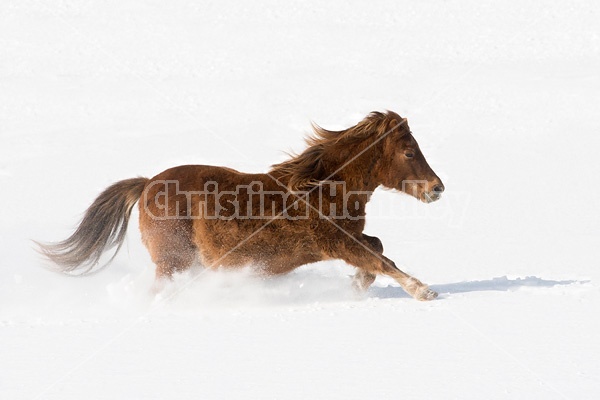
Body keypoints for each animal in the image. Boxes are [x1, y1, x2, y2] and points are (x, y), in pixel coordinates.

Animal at [36, 109, 440, 300]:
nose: (437, 189)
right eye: (409, 151)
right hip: (173, 260)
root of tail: (147, 183)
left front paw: (358, 284)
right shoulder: (335, 242)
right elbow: (381, 259)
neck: (321, 187)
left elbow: (378, 249)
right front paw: (424, 291)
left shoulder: (346, 240)